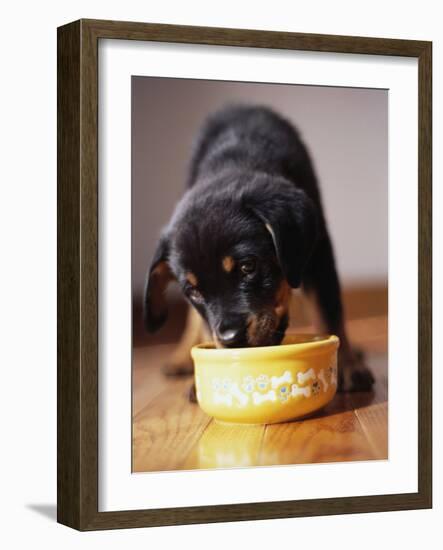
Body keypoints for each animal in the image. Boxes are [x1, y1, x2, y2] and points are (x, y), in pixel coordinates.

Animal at [144, 104, 376, 396]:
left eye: (248, 267)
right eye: (193, 292)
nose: (231, 338)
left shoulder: (318, 252)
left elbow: (328, 311)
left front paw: (347, 366)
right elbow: (204, 325)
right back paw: (179, 359)